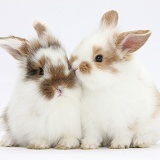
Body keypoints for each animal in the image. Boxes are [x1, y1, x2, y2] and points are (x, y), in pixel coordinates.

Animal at [0, 19, 82, 149]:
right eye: (40, 71)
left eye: (68, 65)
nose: (60, 87)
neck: (54, 104)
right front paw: (38, 144)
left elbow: (69, 136)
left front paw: (66, 143)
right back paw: (6, 141)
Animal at [70, 10, 160, 150]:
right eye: (81, 43)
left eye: (99, 58)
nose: (74, 67)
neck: (102, 87)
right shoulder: (91, 122)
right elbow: (92, 134)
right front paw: (88, 145)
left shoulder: (125, 121)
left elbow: (123, 133)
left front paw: (119, 145)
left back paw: (141, 142)